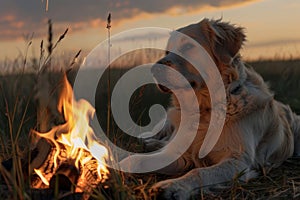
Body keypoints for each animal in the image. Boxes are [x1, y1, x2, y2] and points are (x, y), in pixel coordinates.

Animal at [119, 18, 300, 198]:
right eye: (167, 51)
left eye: (188, 46)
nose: (154, 70)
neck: (206, 109)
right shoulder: (183, 153)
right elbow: (142, 160)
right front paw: (122, 164)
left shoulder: (238, 160)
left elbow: (199, 172)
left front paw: (172, 186)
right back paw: (149, 141)